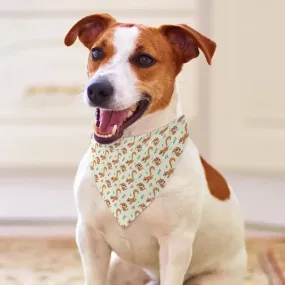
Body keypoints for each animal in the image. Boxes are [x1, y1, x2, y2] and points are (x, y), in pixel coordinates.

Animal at [64, 13, 246, 284]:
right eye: (97, 52)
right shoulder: (89, 236)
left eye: (144, 59)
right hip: (120, 267)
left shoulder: (176, 246)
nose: (97, 89)